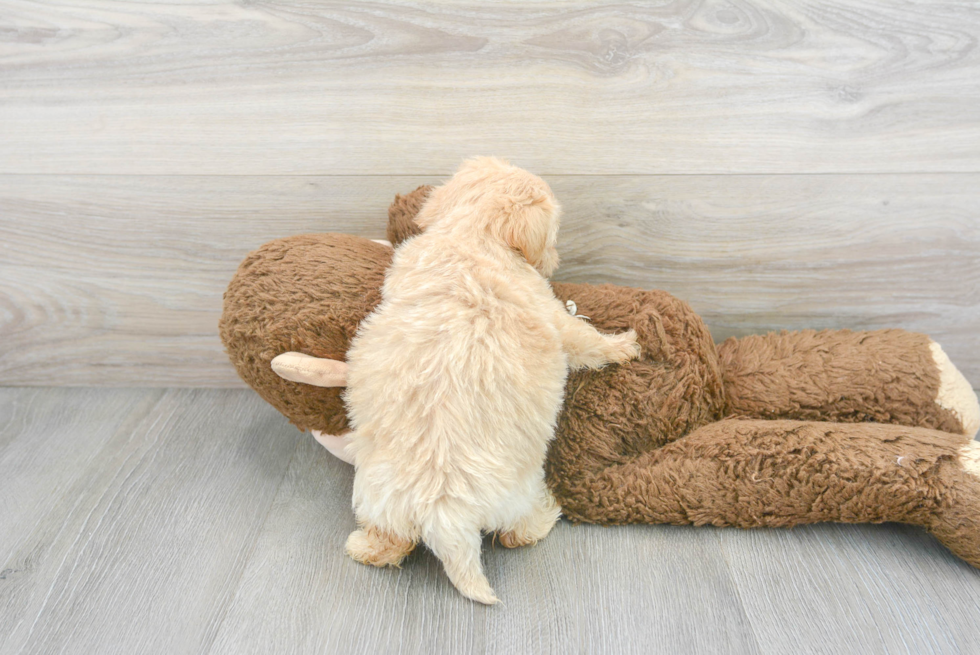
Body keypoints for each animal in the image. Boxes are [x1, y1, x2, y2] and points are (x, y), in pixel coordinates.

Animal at [340, 158, 640, 604]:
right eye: (553, 234)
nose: (554, 257)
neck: (471, 237)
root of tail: (442, 514)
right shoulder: (552, 314)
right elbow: (585, 339)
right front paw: (623, 345)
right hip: (516, 495)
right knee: (517, 533)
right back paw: (547, 513)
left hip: (380, 500)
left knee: (390, 543)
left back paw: (362, 547)